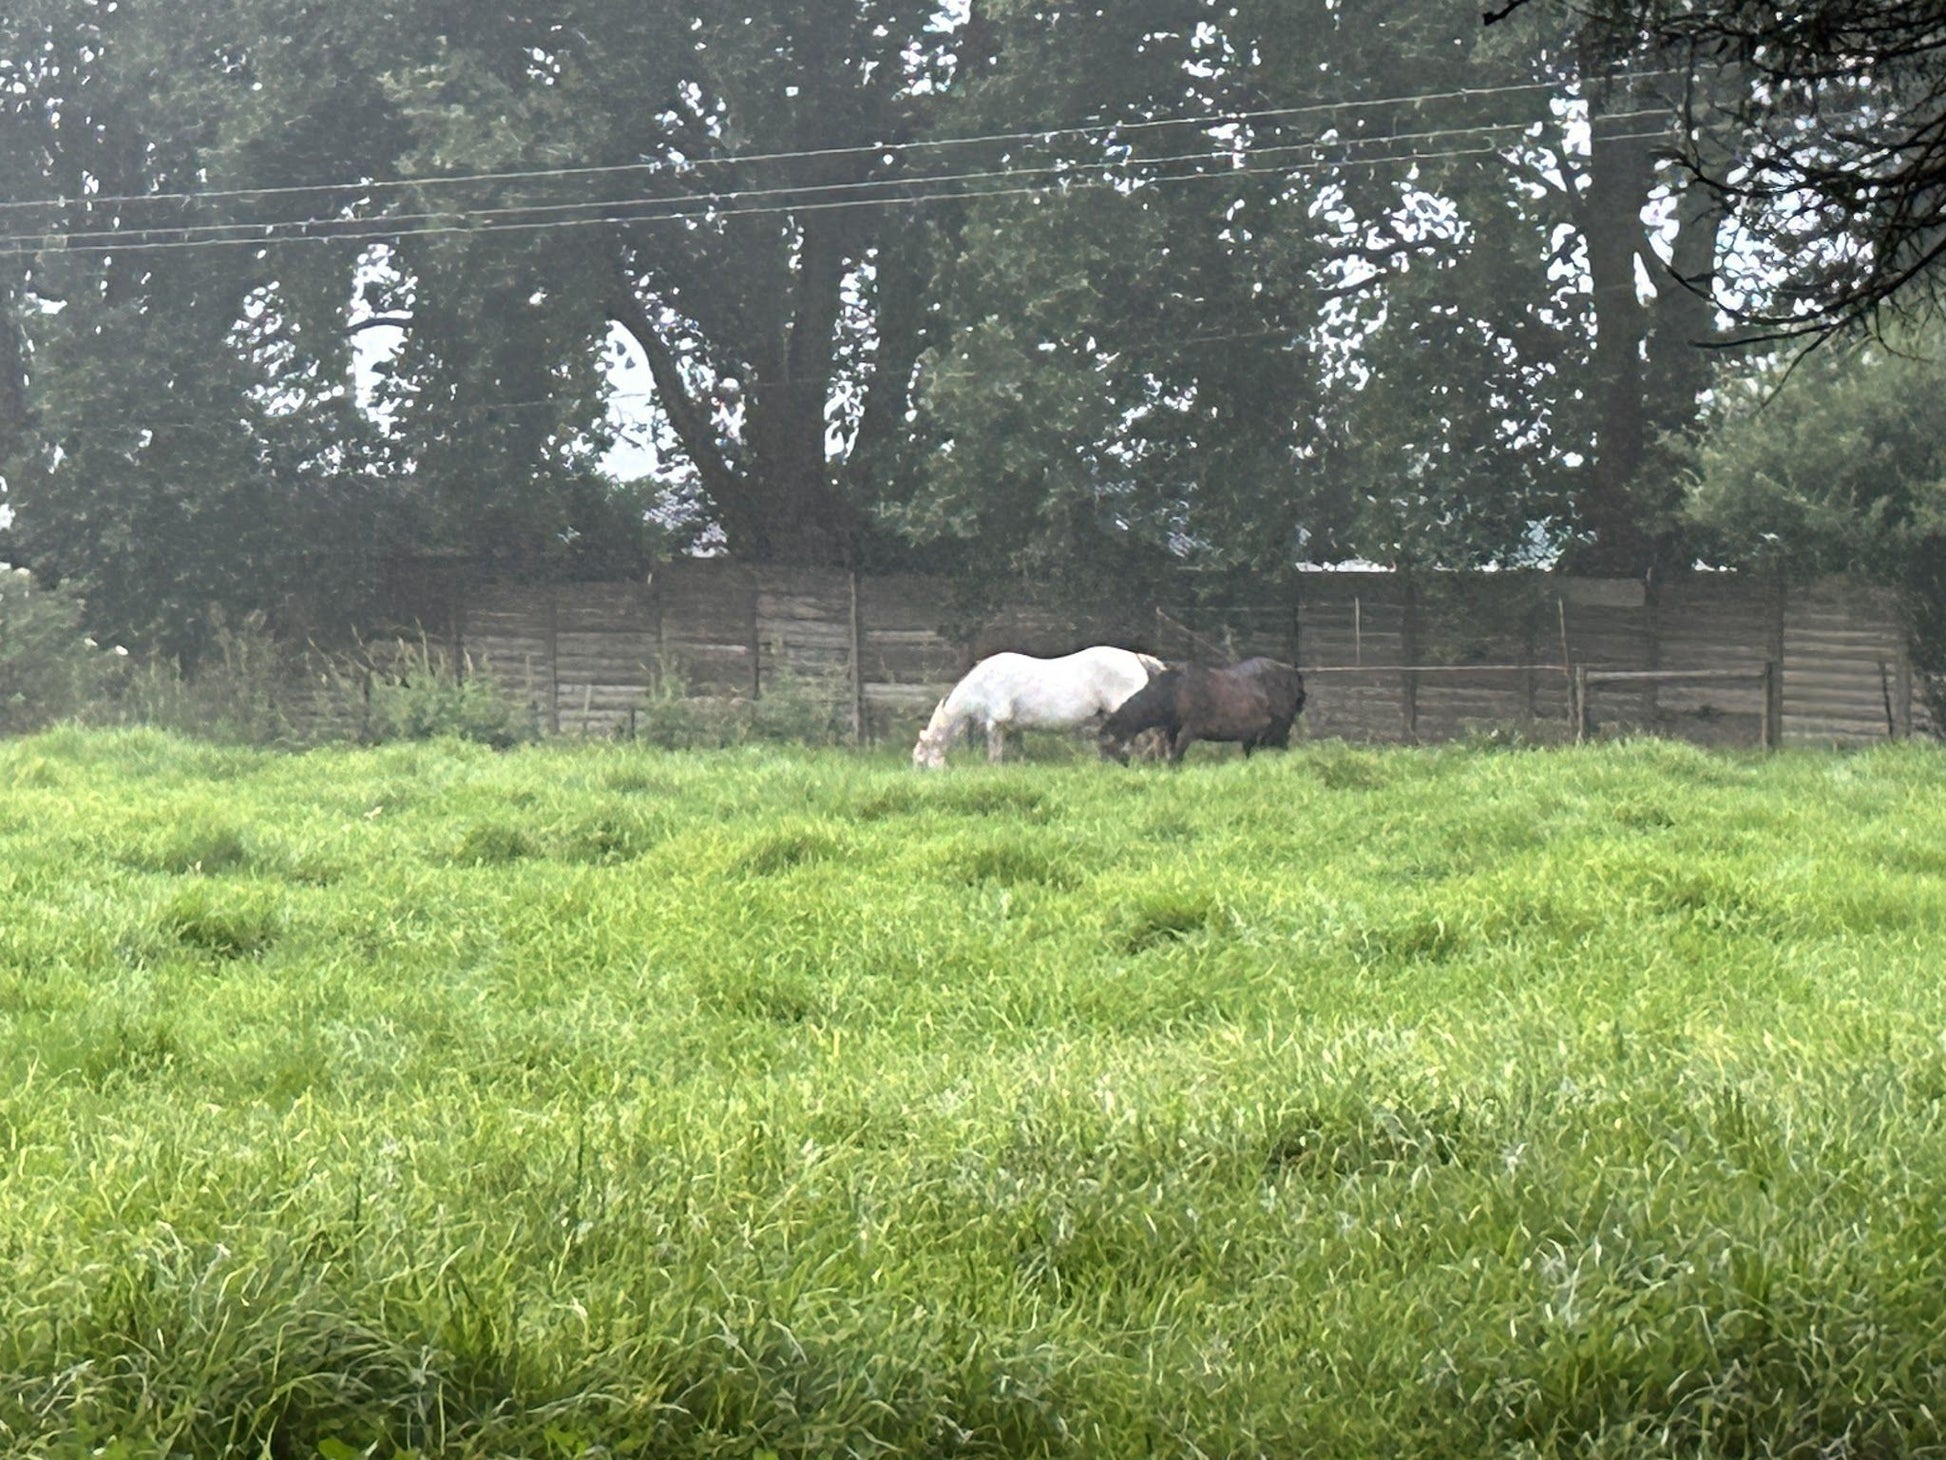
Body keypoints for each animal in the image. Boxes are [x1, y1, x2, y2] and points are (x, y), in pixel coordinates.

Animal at [906, 646, 1152, 770]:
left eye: (920, 761)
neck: (981, 685)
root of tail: (1138, 659)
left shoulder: (996, 723)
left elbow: (995, 753)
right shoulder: (1012, 727)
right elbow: (1017, 750)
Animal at [1105, 661, 1299, 770]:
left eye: (1111, 743)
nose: (1122, 765)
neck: (1169, 696)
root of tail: (1297, 677)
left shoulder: (1191, 728)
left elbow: (1175, 759)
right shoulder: (1171, 730)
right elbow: (1172, 757)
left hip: (1278, 730)